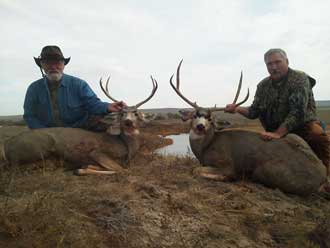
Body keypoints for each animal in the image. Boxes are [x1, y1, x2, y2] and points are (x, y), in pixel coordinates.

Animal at [2, 75, 160, 174]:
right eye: (122, 113)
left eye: (136, 113)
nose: (128, 121)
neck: (126, 147)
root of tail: (7, 145)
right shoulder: (97, 152)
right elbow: (122, 170)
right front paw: (82, 168)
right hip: (39, 148)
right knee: (15, 168)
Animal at [171, 60, 326, 196]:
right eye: (194, 115)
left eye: (210, 119)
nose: (200, 126)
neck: (206, 147)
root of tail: (321, 176)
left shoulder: (225, 163)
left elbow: (196, 170)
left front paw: (228, 178)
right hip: (295, 137)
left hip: (267, 171)